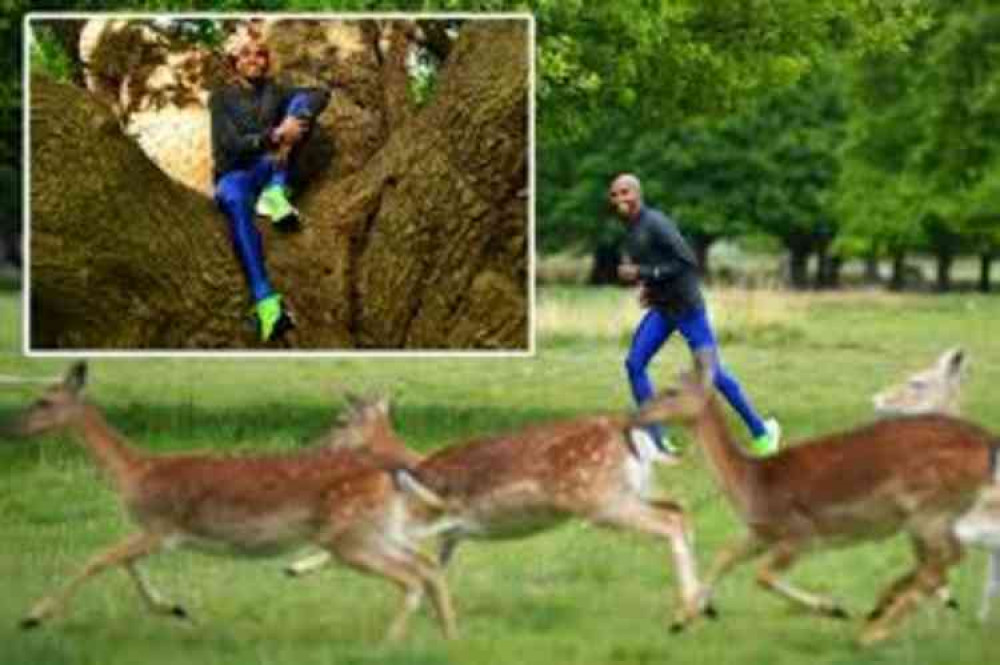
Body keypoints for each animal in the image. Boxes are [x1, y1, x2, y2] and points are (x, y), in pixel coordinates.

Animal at [6, 360, 458, 640]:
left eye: (44, 400)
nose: (11, 427)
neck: (135, 473)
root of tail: (390, 475)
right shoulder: (158, 533)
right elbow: (124, 563)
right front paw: (174, 608)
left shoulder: (162, 525)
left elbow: (98, 559)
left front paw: (32, 616)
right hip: (375, 529)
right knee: (427, 566)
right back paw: (448, 637)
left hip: (350, 535)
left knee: (413, 575)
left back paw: (390, 642)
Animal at [284, 394, 704, 632]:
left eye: (339, 421)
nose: (312, 447)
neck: (416, 468)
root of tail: (629, 431)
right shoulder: (453, 532)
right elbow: (436, 566)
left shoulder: (432, 515)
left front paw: (296, 567)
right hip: (631, 490)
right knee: (680, 510)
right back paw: (701, 604)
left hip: (598, 498)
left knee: (670, 521)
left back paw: (685, 611)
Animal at [632, 368, 1000, 644]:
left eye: (671, 390)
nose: (637, 414)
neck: (751, 482)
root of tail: (988, 443)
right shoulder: (760, 531)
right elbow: (725, 556)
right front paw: (680, 619)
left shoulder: (799, 532)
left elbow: (762, 575)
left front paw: (833, 608)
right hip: (932, 515)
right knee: (942, 561)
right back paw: (881, 610)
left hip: (929, 509)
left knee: (943, 561)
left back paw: (870, 633)